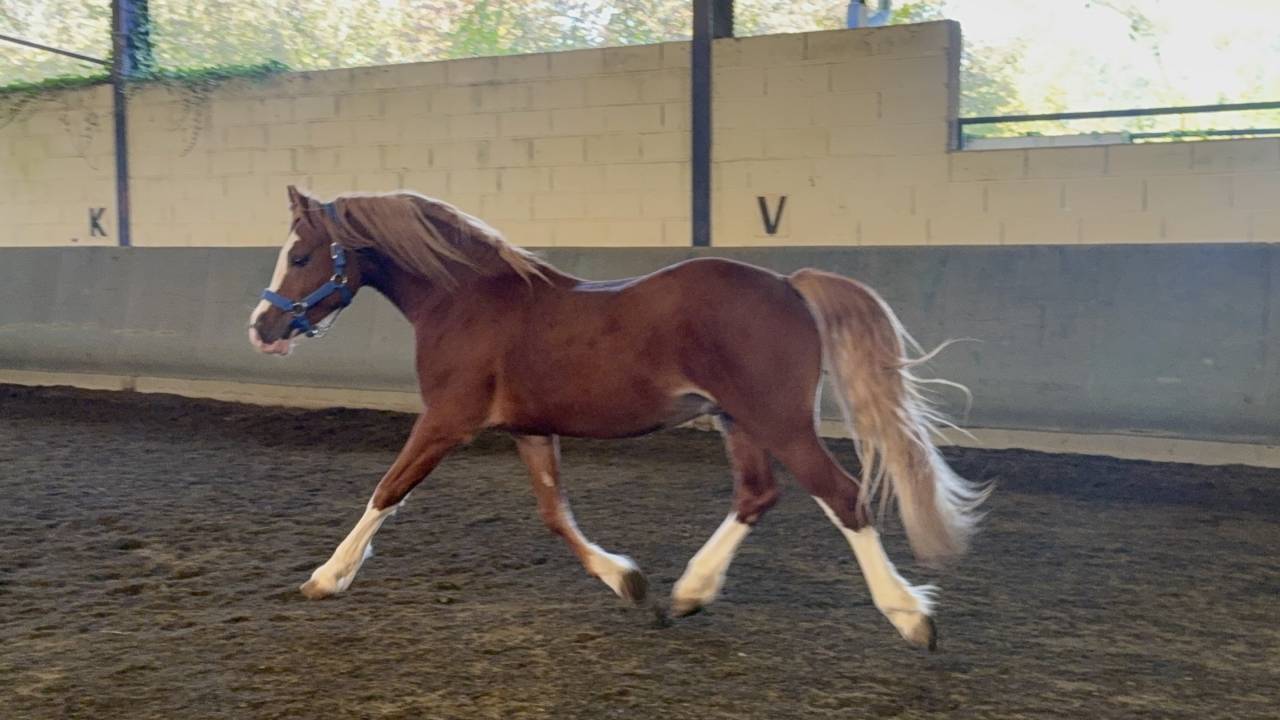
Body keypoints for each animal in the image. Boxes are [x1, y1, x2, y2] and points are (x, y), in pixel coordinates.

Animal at [248, 186, 988, 650]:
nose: (261, 328)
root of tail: (790, 286)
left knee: (843, 497)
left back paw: (911, 618)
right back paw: (689, 593)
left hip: (777, 421)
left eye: (302, 254)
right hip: (739, 421)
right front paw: (627, 580)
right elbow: (556, 514)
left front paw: (327, 577)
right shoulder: (529, 429)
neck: (467, 301)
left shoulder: (446, 421)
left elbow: (387, 491)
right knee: (757, 495)